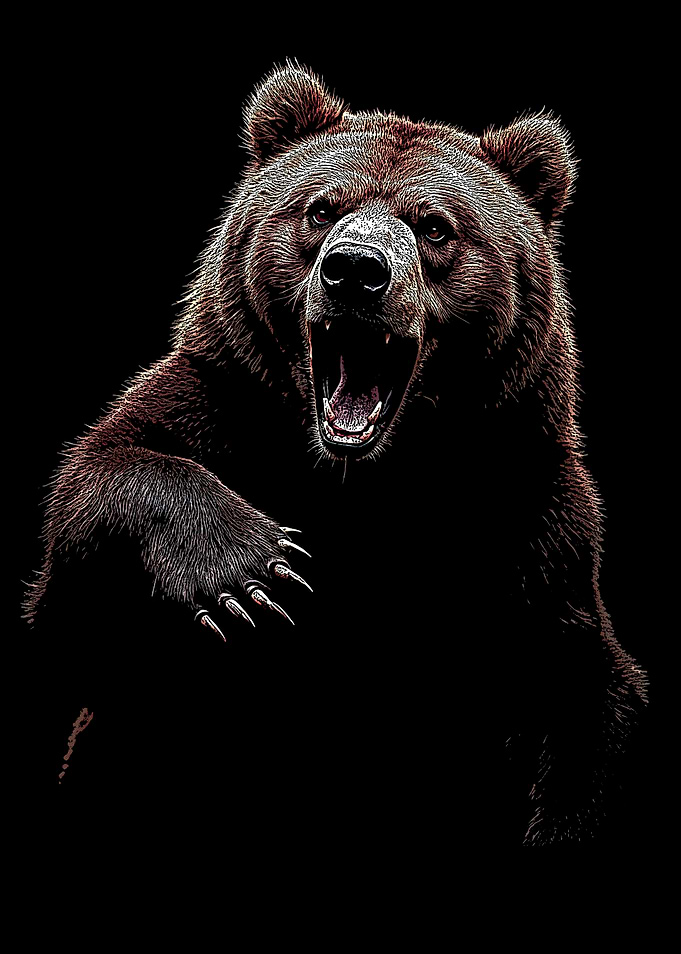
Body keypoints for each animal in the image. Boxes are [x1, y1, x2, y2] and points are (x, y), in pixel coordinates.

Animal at [26, 61, 648, 847]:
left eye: (434, 226)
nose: (355, 270)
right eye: (321, 210)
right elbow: (94, 532)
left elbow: (579, 693)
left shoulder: (524, 517)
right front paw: (256, 576)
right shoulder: (219, 408)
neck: (361, 479)